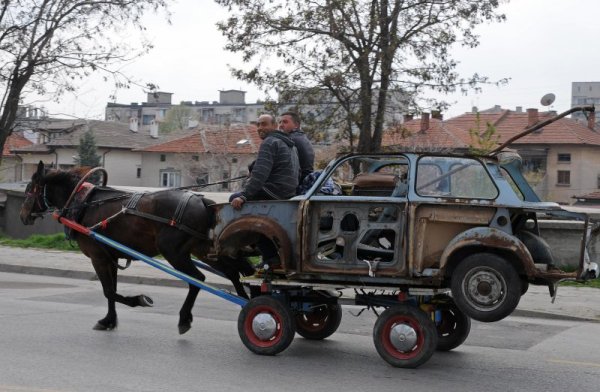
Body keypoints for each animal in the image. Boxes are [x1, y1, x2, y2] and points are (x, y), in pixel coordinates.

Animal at [20, 161, 253, 336]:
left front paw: (139, 300)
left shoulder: (98, 258)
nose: (22, 216)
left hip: (174, 252)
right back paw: (246, 299)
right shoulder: (110, 258)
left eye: (29, 190)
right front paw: (109, 320)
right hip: (202, 249)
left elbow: (108, 291)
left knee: (198, 279)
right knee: (231, 272)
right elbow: (111, 291)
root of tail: (202, 202)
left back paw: (185, 318)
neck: (83, 204)